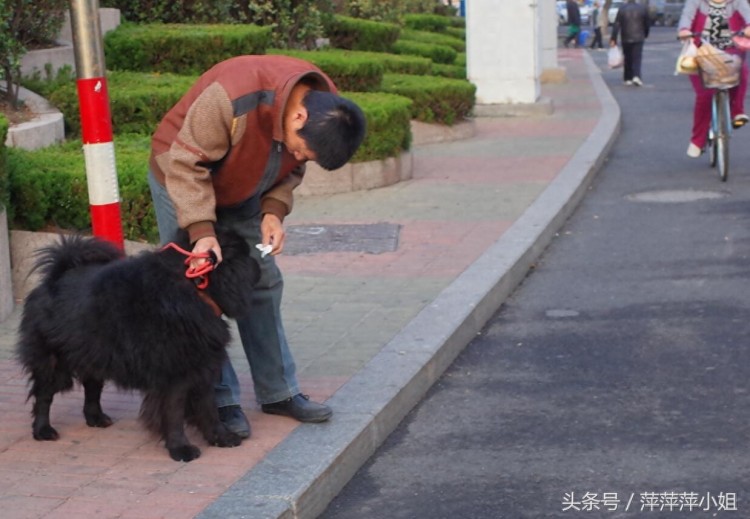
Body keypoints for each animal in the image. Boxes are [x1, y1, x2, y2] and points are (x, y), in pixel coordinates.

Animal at [16, 230, 260, 462]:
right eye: (245, 256)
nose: (258, 263)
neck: (194, 291)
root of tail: (54, 279)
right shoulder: (174, 376)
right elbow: (174, 413)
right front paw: (180, 449)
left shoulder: (203, 369)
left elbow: (208, 408)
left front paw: (220, 437)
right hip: (54, 363)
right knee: (44, 395)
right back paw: (43, 430)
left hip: (95, 355)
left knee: (91, 389)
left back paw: (96, 418)